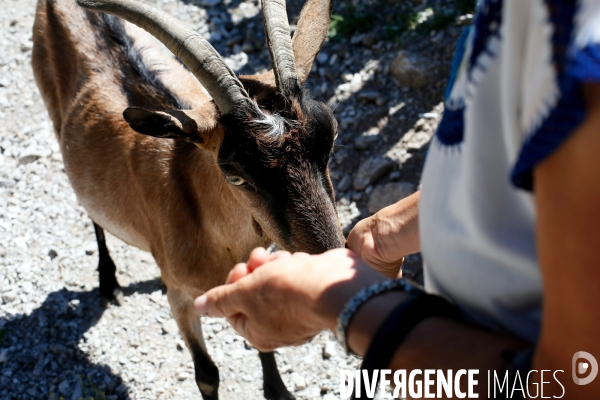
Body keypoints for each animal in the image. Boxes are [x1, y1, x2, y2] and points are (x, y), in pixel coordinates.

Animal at [31, 0, 342, 396]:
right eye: (234, 173)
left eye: (331, 135)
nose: (331, 266)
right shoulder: (178, 293)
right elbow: (206, 374)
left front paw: (279, 391)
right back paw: (108, 282)